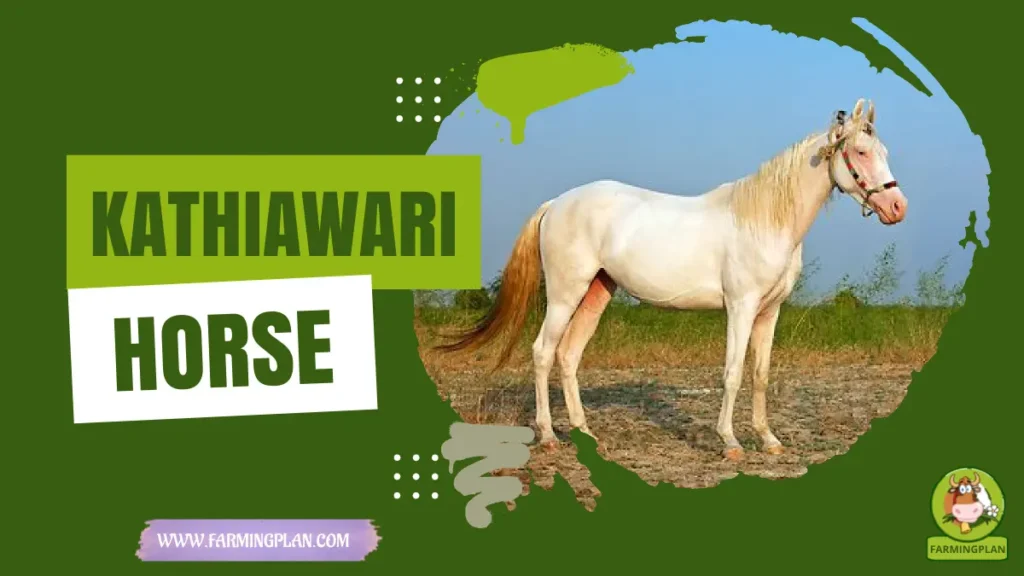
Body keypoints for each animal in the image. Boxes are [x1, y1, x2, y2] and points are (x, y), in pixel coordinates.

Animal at [435, 98, 907, 460]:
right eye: (860, 152)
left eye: (883, 149)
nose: (897, 207)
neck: (764, 220)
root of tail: (556, 204)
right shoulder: (740, 307)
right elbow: (733, 373)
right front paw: (731, 443)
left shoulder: (769, 312)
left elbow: (760, 374)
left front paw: (770, 440)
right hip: (566, 294)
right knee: (542, 352)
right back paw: (549, 435)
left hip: (596, 293)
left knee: (568, 356)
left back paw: (585, 433)